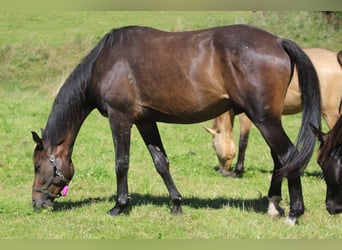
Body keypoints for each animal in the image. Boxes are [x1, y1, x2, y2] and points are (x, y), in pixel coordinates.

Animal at [31, 24, 320, 225]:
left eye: (37, 165)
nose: (36, 202)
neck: (107, 60)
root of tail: (278, 41)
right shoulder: (146, 121)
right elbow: (161, 162)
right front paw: (176, 204)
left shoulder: (120, 118)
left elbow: (121, 162)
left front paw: (119, 206)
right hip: (268, 120)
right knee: (280, 160)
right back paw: (274, 206)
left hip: (264, 120)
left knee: (289, 156)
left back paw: (294, 214)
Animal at [206, 48, 342, 178]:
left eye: (213, 146)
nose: (222, 171)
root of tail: (335, 57)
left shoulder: (246, 117)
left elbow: (243, 142)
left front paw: (237, 171)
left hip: (330, 114)